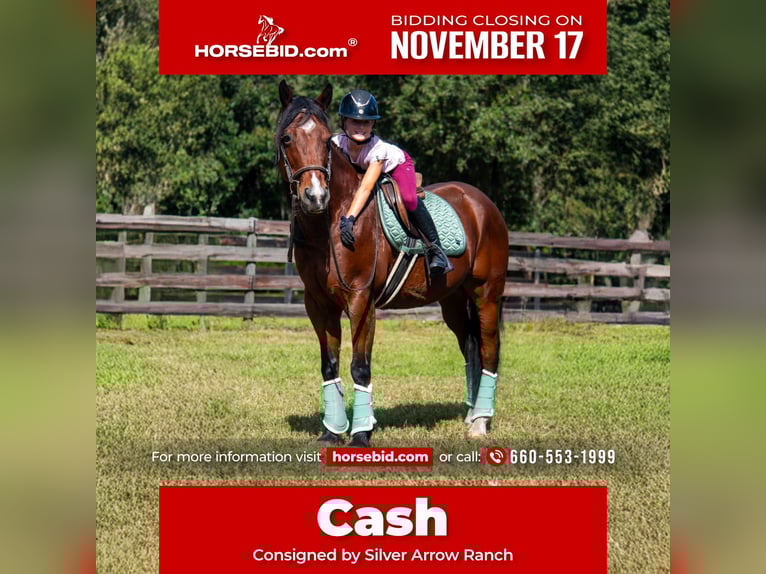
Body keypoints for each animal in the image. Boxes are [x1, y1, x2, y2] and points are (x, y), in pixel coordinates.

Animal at [275, 81, 509, 447]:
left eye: (326, 140)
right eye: (287, 138)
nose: (315, 197)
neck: (332, 223)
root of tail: (482, 203)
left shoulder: (361, 302)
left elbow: (360, 366)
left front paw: (361, 433)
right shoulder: (318, 304)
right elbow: (329, 365)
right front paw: (332, 431)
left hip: (487, 294)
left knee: (489, 350)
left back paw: (481, 422)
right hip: (454, 302)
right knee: (470, 346)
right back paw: (471, 414)